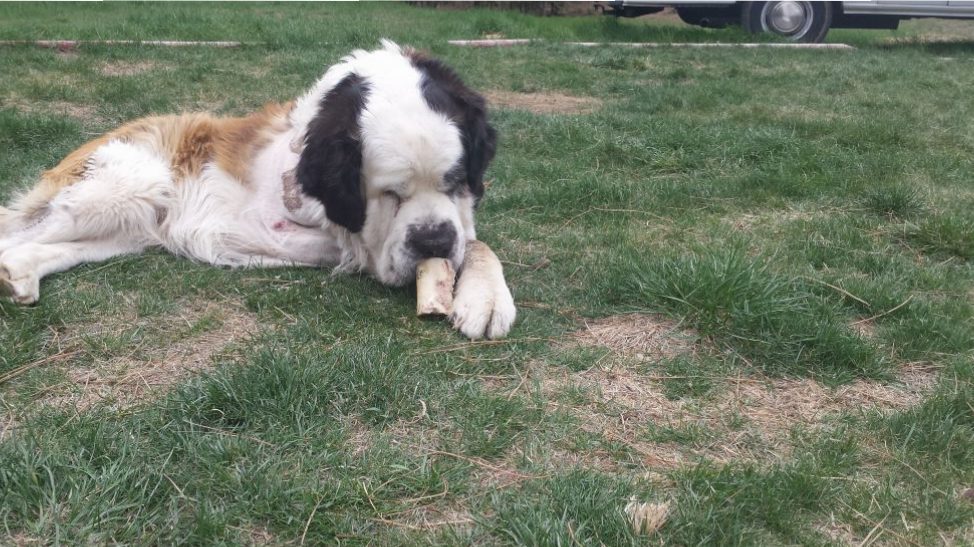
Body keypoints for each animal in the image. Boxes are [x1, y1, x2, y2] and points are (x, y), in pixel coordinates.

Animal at [0, 39, 520, 338]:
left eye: (456, 182)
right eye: (390, 195)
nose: (432, 241)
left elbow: (477, 243)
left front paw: (486, 295)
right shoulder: (319, 230)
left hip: (131, 228)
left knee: (40, 248)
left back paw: (20, 275)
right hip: (127, 186)